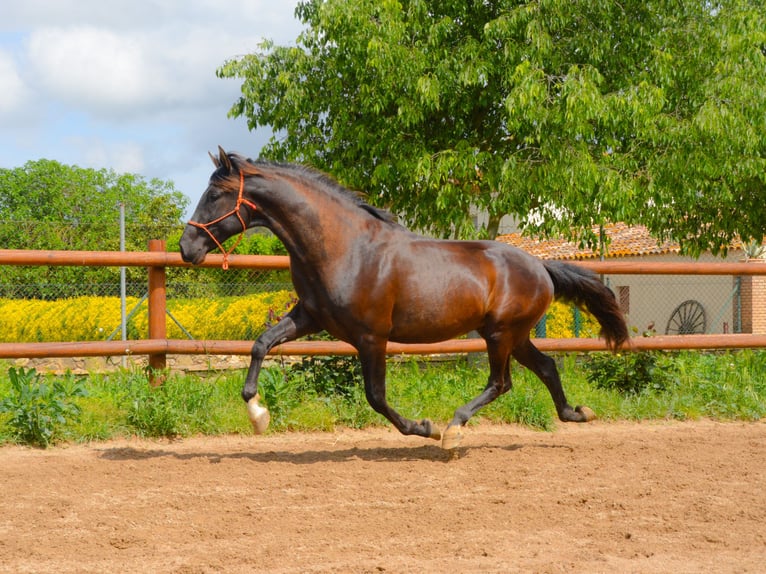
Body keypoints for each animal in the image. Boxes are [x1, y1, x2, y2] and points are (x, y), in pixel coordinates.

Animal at [180, 147, 629, 449]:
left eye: (215, 195)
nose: (186, 247)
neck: (344, 247)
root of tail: (541, 266)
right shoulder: (311, 317)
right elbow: (261, 344)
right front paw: (258, 415)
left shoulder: (371, 337)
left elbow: (376, 397)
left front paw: (425, 428)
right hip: (513, 336)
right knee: (547, 368)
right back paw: (576, 413)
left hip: (500, 335)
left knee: (501, 382)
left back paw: (453, 430)